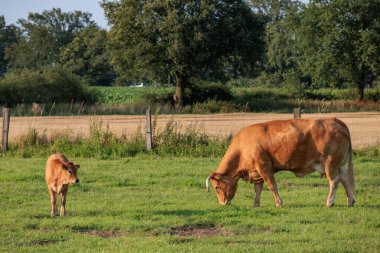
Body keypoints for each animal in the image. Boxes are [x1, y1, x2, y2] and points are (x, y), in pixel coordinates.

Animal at [206, 118, 354, 208]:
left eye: (216, 187)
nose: (222, 203)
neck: (242, 148)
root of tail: (334, 119)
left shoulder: (264, 166)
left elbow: (271, 185)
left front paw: (279, 203)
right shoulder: (256, 171)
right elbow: (258, 188)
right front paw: (256, 204)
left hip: (330, 163)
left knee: (334, 181)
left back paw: (330, 202)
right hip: (341, 164)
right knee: (345, 180)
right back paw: (350, 201)